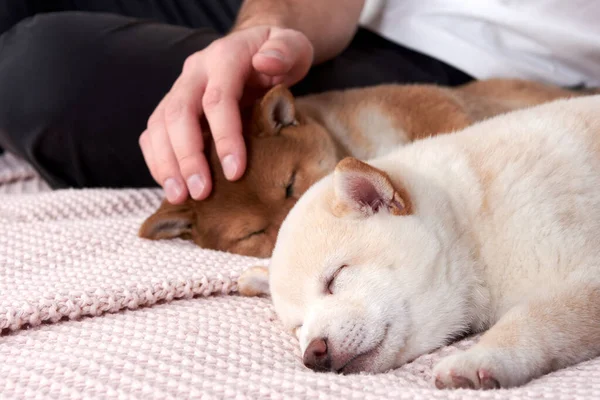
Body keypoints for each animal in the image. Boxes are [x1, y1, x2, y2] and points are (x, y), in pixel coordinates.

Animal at [238, 95, 600, 390]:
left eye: (334, 278)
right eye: (297, 327)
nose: (313, 354)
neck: (472, 223)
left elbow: (536, 317)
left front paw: (482, 359)